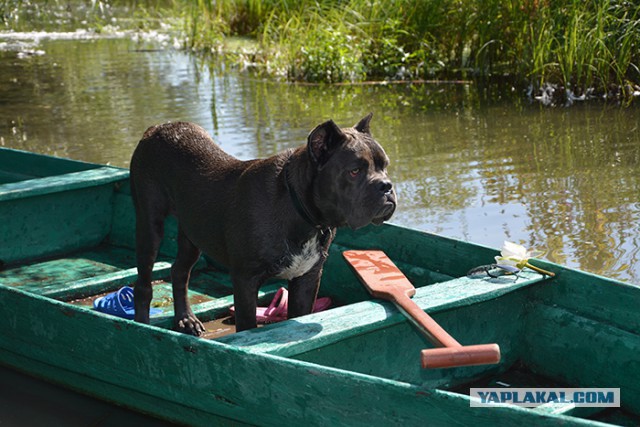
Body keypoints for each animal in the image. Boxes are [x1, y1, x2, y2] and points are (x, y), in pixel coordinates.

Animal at [131, 114, 396, 334]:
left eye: (385, 166)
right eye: (354, 171)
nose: (386, 186)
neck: (301, 211)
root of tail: (155, 129)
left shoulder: (307, 279)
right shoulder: (245, 280)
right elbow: (247, 326)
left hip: (192, 234)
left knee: (179, 271)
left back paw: (186, 319)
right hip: (149, 226)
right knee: (143, 284)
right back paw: (141, 327)